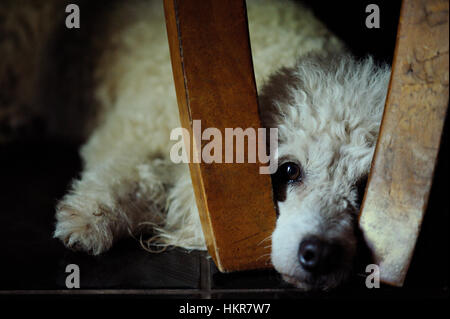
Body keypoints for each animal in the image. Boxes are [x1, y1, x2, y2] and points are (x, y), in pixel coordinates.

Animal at [51, 0, 390, 292]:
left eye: (365, 188)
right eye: (289, 171)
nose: (319, 255)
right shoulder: (133, 128)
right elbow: (130, 170)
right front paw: (90, 216)